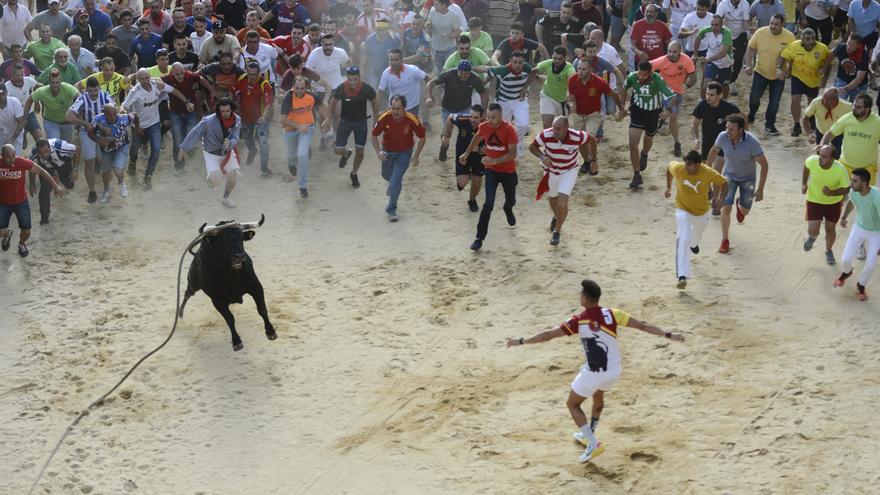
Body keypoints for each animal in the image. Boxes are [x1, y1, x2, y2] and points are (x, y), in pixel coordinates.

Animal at [177, 215, 276, 350]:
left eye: (242, 239)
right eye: (223, 241)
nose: (239, 256)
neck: (232, 276)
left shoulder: (256, 288)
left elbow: (262, 309)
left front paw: (271, 332)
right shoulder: (217, 300)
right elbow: (229, 319)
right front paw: (236, 341)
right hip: (193, 283)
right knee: (187, 294)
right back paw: (180, 314)